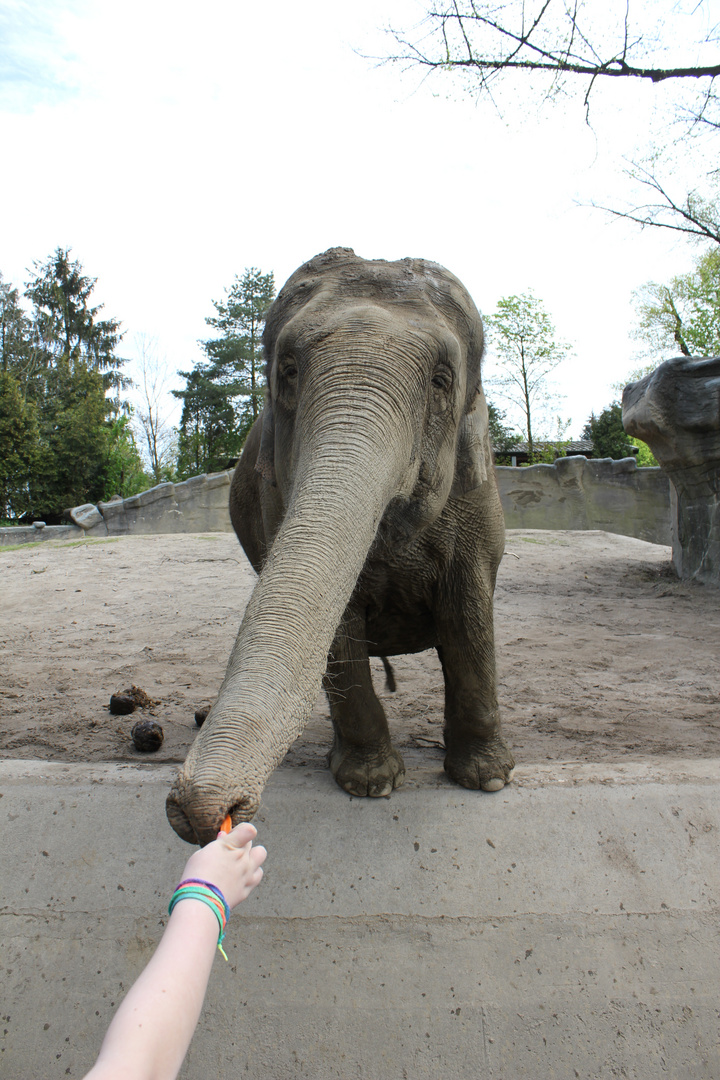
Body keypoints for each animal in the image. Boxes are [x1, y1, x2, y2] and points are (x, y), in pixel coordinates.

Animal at [167, 247, 518, 842]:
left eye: (441, 380)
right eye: (287, 371)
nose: (200, 814)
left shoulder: (479, 498)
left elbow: (468, 612)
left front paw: (488, 779)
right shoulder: (276, 497)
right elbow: (339, 628)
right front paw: (370, 784)